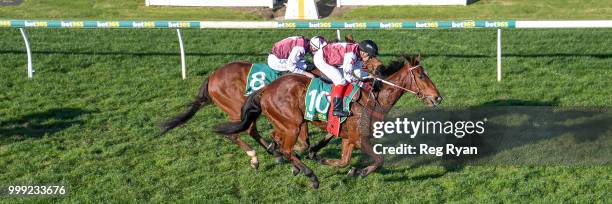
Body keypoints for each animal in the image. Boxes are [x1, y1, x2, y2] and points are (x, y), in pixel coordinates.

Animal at [213, 54, 442, 188]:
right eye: (421, 76)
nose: (438, 98)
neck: (374, 100)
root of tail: (265, 88)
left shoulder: (349, 138)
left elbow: (344, 161)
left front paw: (334, 164)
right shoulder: (360, 139)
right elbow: (379, 160)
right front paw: (360, 171)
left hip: (285, 123)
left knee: (276, 138)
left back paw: (288, 160)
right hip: (293, 124)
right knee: (285, 148)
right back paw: (309, 175)